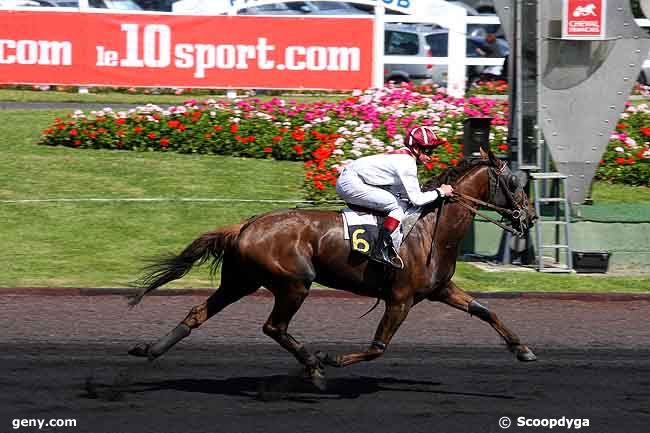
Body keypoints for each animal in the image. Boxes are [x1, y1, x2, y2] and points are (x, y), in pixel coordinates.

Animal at [128, 147, 536, 386]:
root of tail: (245, 225)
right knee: (274, 326)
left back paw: (150, 350)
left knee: (198, 313)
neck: (431, 227)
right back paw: (313, 364)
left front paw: (523, 350)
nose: (530, 217)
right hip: (294, 283)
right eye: (514, 181)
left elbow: (485, 311)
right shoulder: (400, 298)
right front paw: (331, 357)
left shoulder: (439, 289)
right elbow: (378, 347)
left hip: (240, 281)